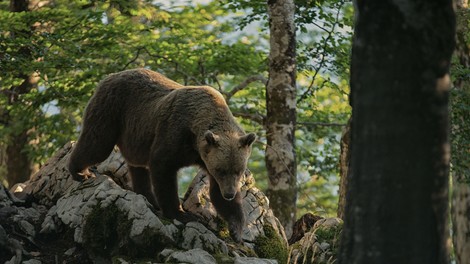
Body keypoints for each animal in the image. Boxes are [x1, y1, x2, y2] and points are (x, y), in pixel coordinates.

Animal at [68, 68, 255, 243]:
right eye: (220, 170)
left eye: (238, 171)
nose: (229, 194)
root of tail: (112, 75)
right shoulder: (176, 132)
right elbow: (163, 167)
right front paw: (181, 213)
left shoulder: (206, 156)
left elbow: (216, 192)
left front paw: (236, 229)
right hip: (113, 108)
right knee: (98, 142)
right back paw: (80, 172)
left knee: (137, 166)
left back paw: (148, 197)